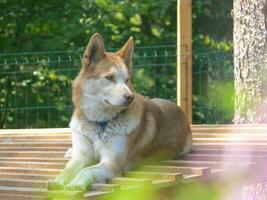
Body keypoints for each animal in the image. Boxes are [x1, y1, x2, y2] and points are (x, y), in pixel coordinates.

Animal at [46, 33, 193, 192]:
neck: (100, 123)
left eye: (127, 79)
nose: (130, 97)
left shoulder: (112, 163)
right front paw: (58, 180)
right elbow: (68, 169)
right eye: (109, 77)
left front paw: (76, 182)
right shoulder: (81, 156)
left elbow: (87, 170)